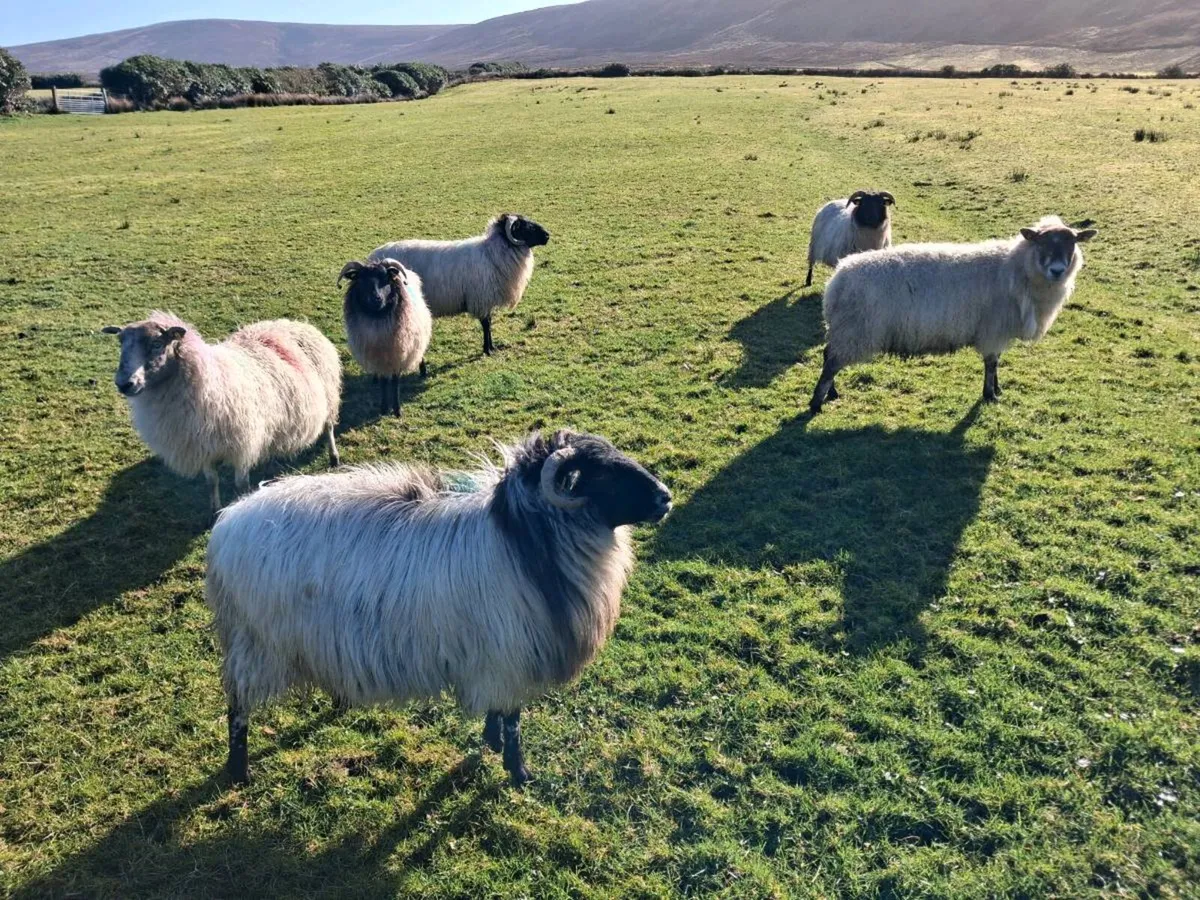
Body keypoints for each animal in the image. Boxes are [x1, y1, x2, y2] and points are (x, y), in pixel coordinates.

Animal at [102, 312, 342, 512]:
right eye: (121, 343)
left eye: (157, 343)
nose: (124, 384)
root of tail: (297, 323)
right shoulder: (203, 446)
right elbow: (211, 481)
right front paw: (214, 510)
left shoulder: (243, 444)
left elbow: (241, 484)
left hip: (329, 398)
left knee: (329, 427)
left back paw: (334, 457)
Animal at [206, 429, 672, 787]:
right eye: (601, 473)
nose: (666, 498)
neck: (525, 541)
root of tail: (228, 522)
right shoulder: (512, 655)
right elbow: (514, 718)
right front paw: (518, 772)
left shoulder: (495, 658)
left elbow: (498, 712)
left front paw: (491, 742)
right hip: (256, 644)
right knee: (237, 708)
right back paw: (238, 770)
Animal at [339, 258, 433, 417]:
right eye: (361, 279)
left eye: (385, 278)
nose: (376, 298)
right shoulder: (380, 357)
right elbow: (384, 382)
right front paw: (384, 407)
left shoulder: (398, 354)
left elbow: (395, 382)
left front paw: (396, 410)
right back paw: (375, 378)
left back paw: (422, 370)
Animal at [369, 213, 550, 356]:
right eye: (526, 226)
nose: (547, 236)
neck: (492, 254)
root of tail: (373, 257)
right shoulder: (481, 299)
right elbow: (486, 324)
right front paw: (487, 350)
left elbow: (489, 323)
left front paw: (491, 347)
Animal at [809, 216, 1097, 413]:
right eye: (1041, 242)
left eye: (1072, 243)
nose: (1057, 270)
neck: (1017, 270)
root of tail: (836, 282)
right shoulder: (993, 329)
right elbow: (991, 363)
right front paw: (989, 395)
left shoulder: (997, 331)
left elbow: (996, 362)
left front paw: (998, 389)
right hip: (855, 330)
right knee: (831, 363)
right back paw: (816, 403)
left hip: (846, 330)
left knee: (828, 355)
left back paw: (831, 393)